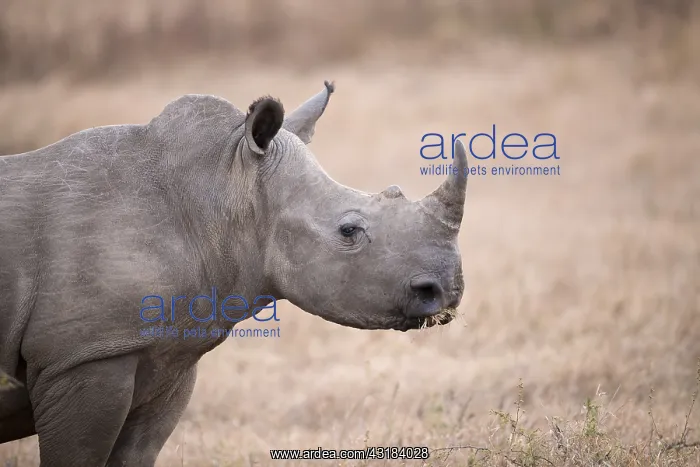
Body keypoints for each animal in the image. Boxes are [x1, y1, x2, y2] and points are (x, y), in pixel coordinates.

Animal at [0, 81, 468, 466]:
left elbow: (135, 453)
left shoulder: (167, 358)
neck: (221, 191)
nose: (446, 291)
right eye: (349, 231)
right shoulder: (84, 355)